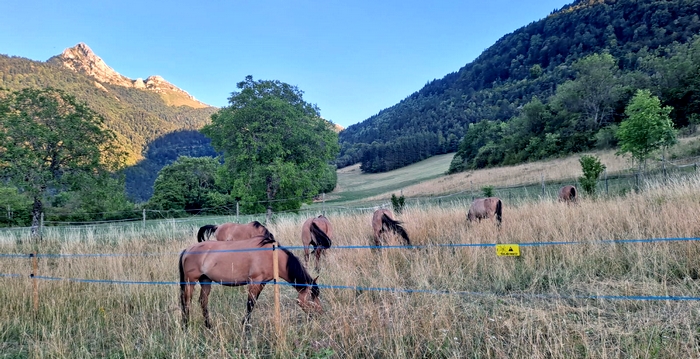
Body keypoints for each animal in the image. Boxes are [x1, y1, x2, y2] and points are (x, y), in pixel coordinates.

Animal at [179, 233, 324, 330]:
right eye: (311, 296)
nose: (320, 314)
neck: (272, 255)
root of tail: (187, 250)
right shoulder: (254, 282)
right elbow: (250, 304)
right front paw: (245, 327)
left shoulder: (262, 283)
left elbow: (252, 304)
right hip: (190, 282)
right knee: (186, 302)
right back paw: (186, 326)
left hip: (206, 280)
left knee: (203, 302)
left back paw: (209, 326)